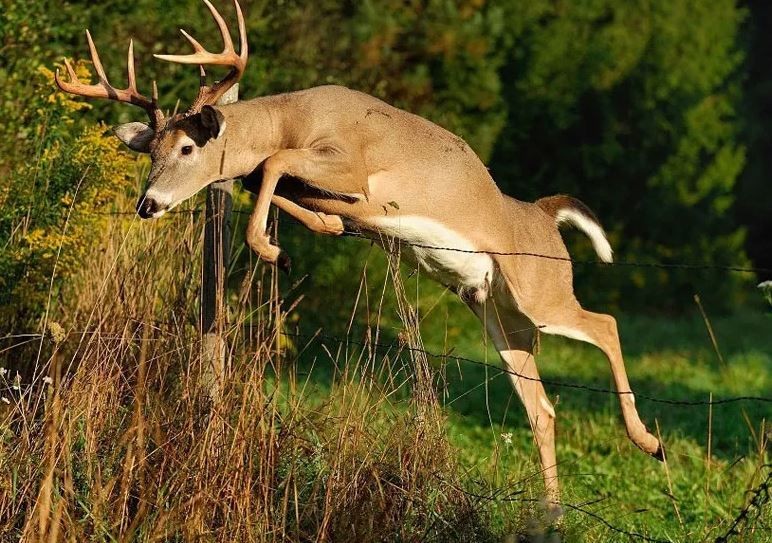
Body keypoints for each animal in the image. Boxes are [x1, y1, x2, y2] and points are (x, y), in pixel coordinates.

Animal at [58, 0, 664, 516]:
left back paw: (649, 442)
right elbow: (279, 189)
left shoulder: (354, 168)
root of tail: (543, 212)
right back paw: (554, 512)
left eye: (187, 148)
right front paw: (290, 244)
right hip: (498, 312)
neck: (291, 117)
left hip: (542, 292)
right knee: (542, 408)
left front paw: (269, 248)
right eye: (151, 152)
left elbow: (273, 164)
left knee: (606, 323)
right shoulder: (336, 196)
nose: (147, 204)